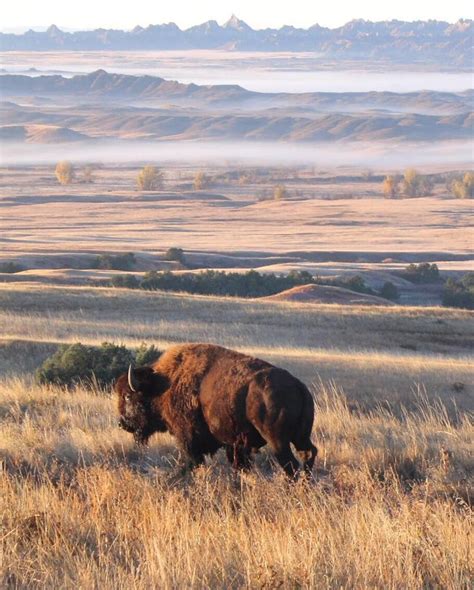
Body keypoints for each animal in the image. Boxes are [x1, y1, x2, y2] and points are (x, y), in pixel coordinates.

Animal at [116, 344, 316, 478]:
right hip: (300, 436)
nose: (122, 423)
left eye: (128, 396)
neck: (164, 383)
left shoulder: (188, 438)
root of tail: (298, 385)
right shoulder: (235, 445)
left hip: (277, 440)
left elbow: (190, 461)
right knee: (309, 453)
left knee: (291, 464)